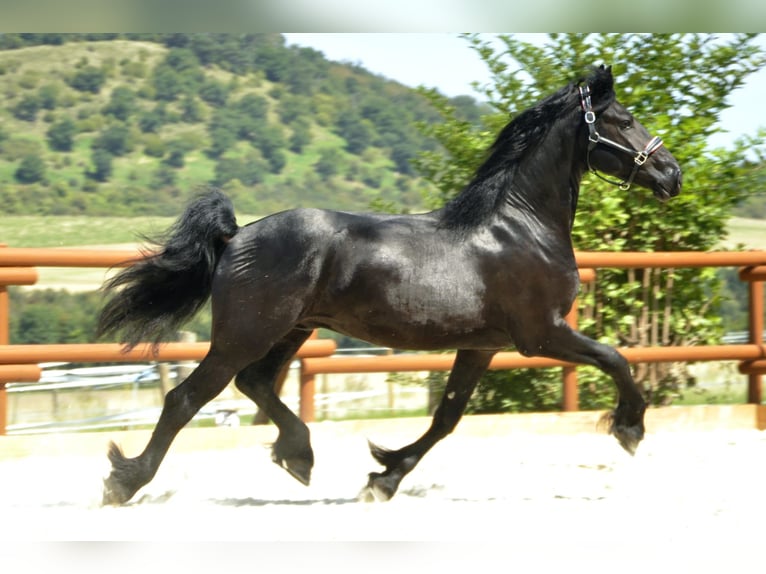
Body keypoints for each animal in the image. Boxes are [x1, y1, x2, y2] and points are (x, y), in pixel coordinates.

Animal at [97, 65, 682, 505]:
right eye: (623, 120)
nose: (672, 174)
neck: (520, 227)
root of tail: (236, 234)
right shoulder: (541, 334)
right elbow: (617, 359)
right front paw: (629, 429)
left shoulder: (483, 345)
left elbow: (447, 417)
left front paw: (384, 474)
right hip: (246, 333)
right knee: (188, 398)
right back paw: (124, 483)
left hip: (291, 329)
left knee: (256, 384)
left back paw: (298, 456)